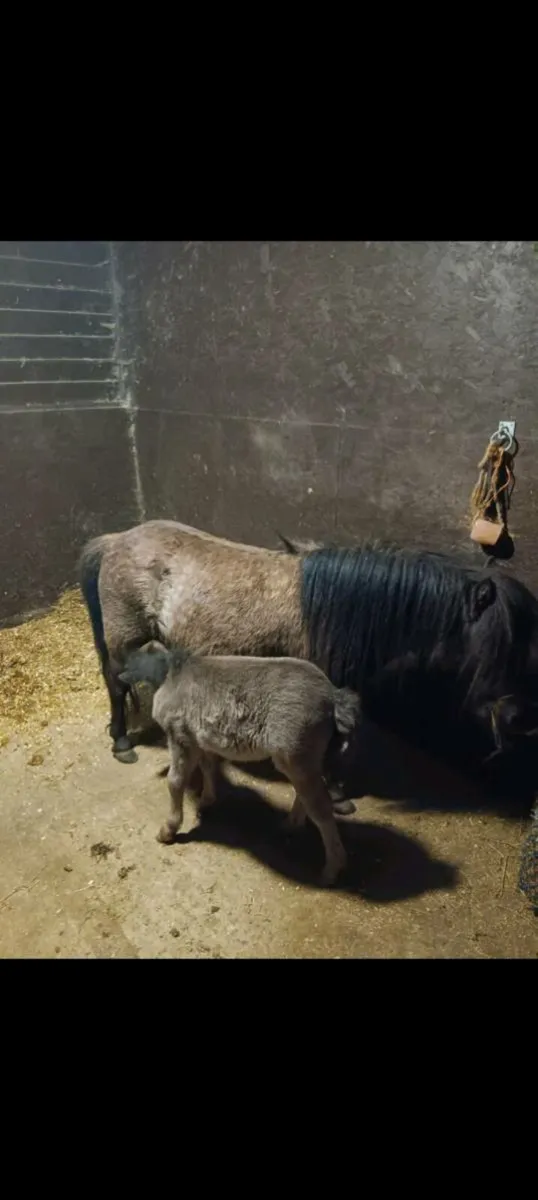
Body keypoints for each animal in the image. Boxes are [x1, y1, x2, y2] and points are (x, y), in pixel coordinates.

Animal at [79, 519, 538, 798]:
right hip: (123, 641)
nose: (518, 718)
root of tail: (117, 539)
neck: (337, 610)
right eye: (499, 646)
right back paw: (121, 742)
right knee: (116, 685)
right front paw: (335, 793)